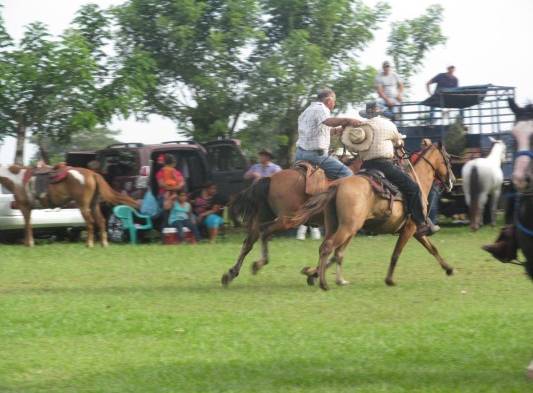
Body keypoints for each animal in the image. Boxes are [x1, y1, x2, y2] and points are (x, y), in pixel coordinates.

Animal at [0, 164, 139, 247]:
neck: (16, 180)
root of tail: (93, 174)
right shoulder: (27, 208)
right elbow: (28, 224)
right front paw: (28, 242)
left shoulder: (25, 207)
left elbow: (27, 224)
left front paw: (29, 243)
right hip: (94, 205)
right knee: (101, 221)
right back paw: (103, 244)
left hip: (83, 206)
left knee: (90, 222)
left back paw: (89, 244)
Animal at [218, 158, 360, 286]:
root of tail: (270, 179)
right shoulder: (348, 230)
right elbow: (335, 253)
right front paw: (314, 275)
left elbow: (330, 251)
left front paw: (313, 275)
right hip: (287, 221)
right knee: (265, 233)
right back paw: (258, 264)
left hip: (263, 218)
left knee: (249, 242)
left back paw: (230, 274)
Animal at [290, 142, 454, 290]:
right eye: (447, 159)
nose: (452, 181)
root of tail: (338, 185)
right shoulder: (410, 228)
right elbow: (396, 254)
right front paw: (389, 280)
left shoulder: (415, 230)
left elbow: (432, 249)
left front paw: (449, 269)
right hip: (348, 227)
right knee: (329, 248)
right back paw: (324, 283)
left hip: (335, 226)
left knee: (330, 249)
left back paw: (325, 277)